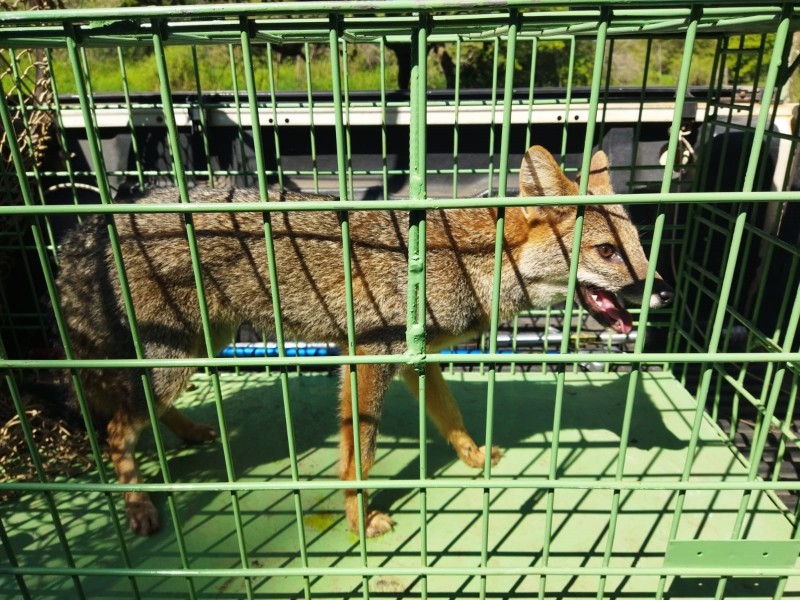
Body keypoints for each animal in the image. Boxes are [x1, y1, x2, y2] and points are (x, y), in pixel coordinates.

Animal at [53, 146, 672, 540]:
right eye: (607, 252)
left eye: (641, 248)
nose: (662, 289)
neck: (468, 259)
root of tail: (85, 228)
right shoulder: (369, 358)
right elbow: (361, 457)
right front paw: (358, 523)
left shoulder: (417, 360)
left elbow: (451, 418)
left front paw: (474, 458)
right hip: (175, 359)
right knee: (115, 429)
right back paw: (138, 506)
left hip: (202, 344)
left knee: (140, 409)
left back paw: (189, 433)